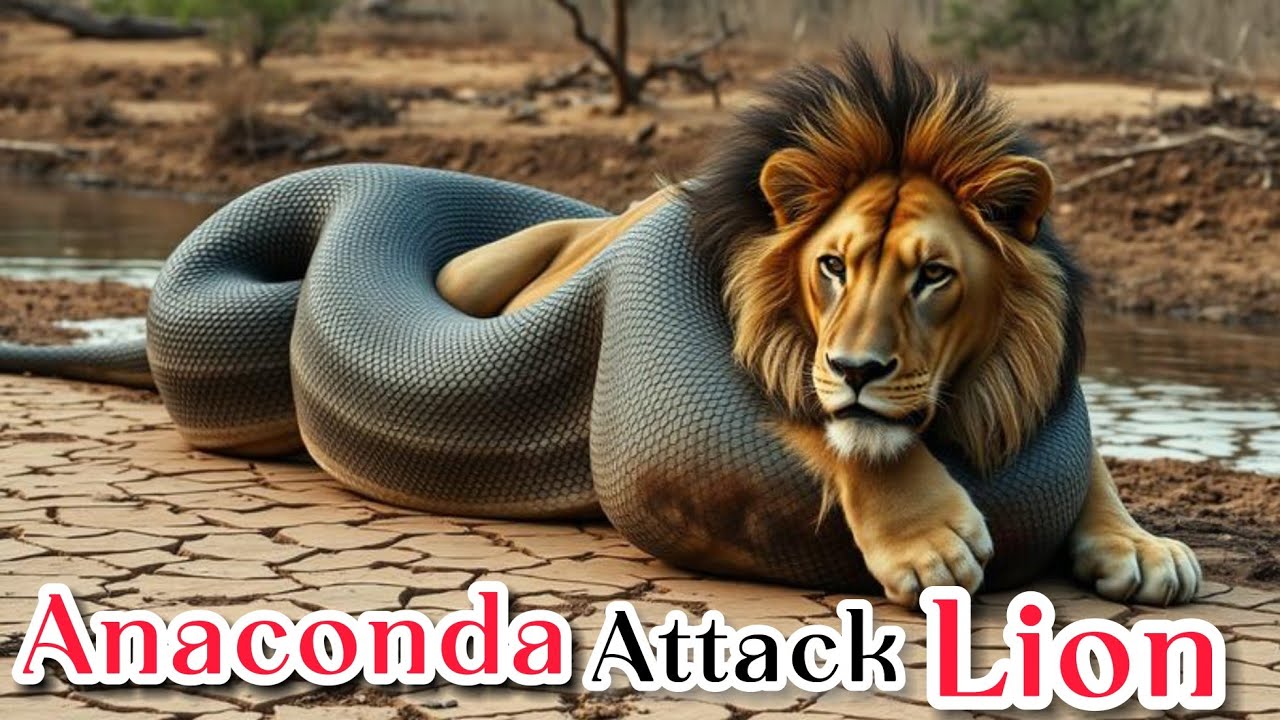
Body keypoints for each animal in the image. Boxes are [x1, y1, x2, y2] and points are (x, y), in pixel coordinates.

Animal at [436, 43, 1201, 608]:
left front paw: (1141, 546)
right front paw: (928, 543)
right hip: (478, 269)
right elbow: (836, 429)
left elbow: (1091, 463)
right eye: (833, 265)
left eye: (933, 275)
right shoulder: (782, 366)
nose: (857, 369)